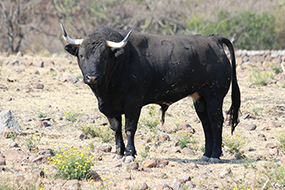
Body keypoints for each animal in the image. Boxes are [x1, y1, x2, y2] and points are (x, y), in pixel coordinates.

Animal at [60, 24, 240, 163]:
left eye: (103, 56)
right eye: (82, 55)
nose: (92, 77)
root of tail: (213, 40)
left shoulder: (133, 103)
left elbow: (129, 128)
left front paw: (129, 154)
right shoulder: (111, 108)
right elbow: (116, 129)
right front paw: (119, 153)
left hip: (214, 96)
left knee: (216, 122)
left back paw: (215, 155)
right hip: (200, 99)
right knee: (206, 124)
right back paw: (205, 155)